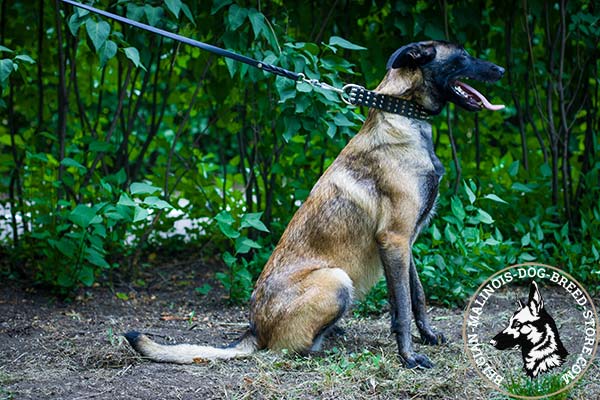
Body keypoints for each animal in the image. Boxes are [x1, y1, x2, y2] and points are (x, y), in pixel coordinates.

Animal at [126, 39, 506, 368]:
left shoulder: (406, 242)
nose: (501, 69)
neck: (405, 117)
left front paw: (427, 336)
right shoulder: (395, 239)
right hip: (336, 280)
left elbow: (417, 296)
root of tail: (254, 330)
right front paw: (409, 357)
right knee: (288, 347)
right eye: (462, 56)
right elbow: (401, 307)